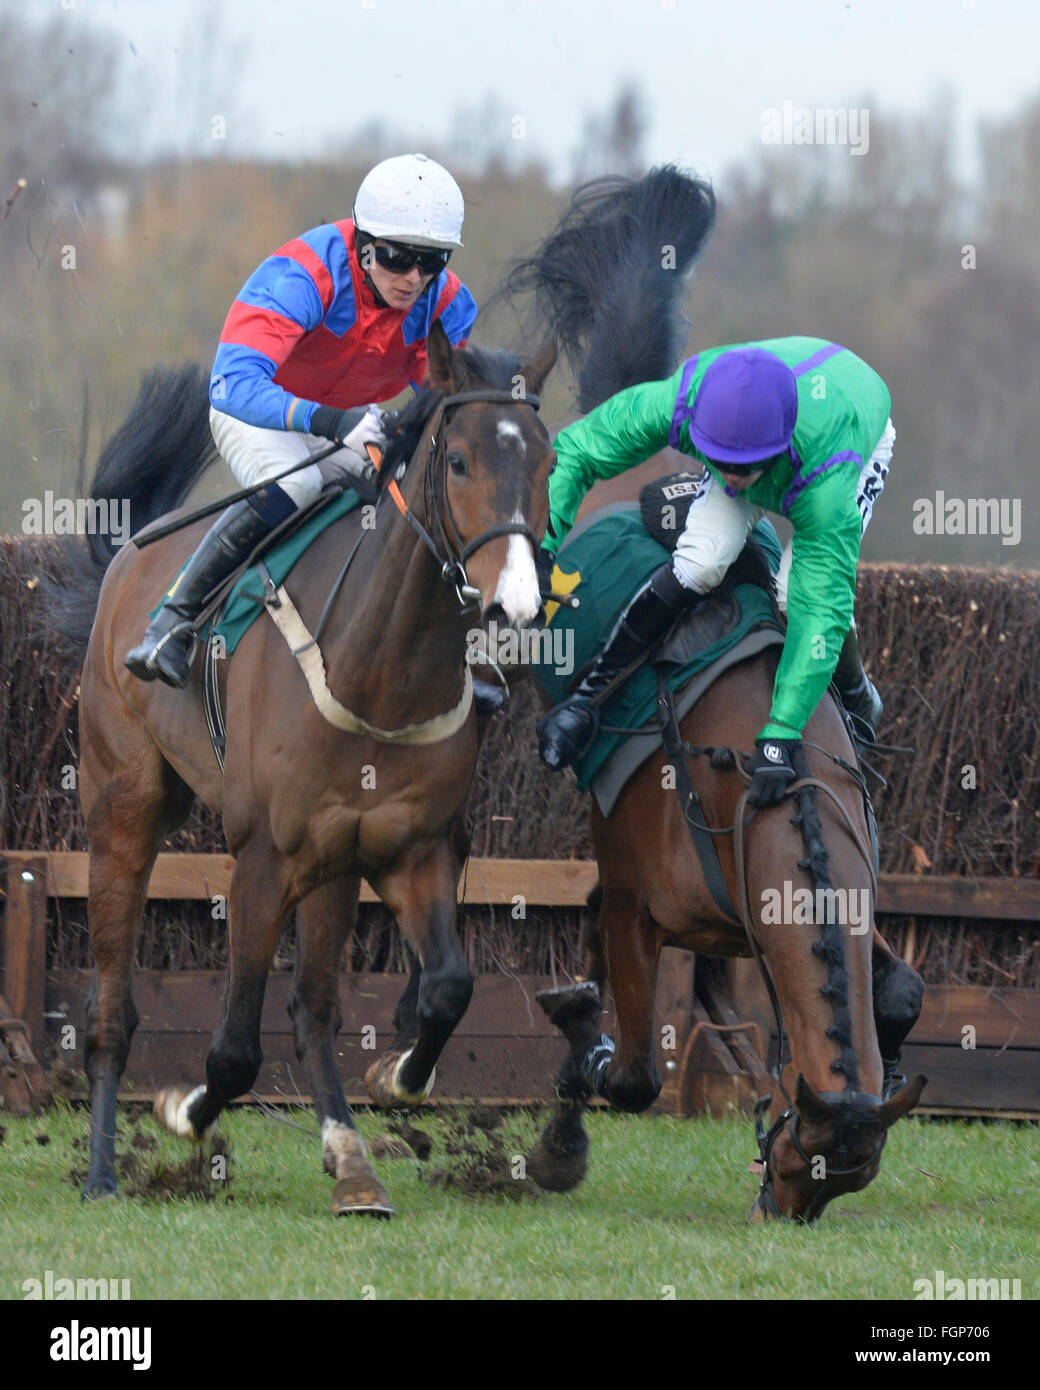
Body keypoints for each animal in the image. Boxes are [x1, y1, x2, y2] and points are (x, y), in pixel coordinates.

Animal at [48, 325, 556, 1217]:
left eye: (549, 459)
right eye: (460, 461)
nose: (518, 605)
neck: (379, 671)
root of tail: (127, 561)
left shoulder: (408, 848)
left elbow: (447, 987)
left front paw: (396, 1077)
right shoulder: (263, 858)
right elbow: (232, 1050)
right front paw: (183, 1112)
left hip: (333, 864)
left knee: (315, 1006)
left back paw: (352, 1164)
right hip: (125, 810)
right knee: (111, 1007)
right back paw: (104, 1174)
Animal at [506, 168, 928, 1223]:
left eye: (834, 1175)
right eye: (798, 1158)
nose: (780, 1214)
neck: (756, 802)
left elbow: (894, 997)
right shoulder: (632, 904)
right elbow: (628, 1072)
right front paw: (565, 1123)